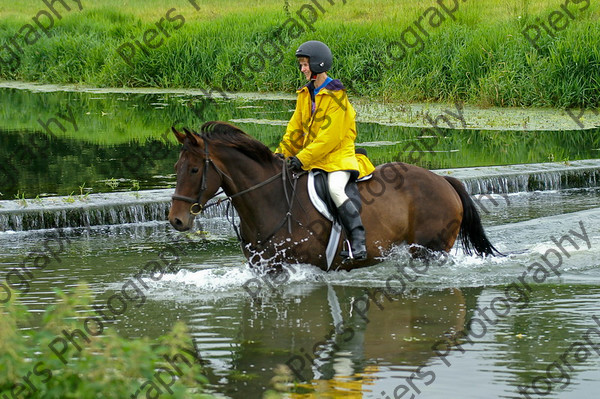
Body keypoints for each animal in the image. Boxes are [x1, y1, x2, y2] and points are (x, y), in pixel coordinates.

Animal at [168, 122, 496, 272]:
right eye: (176, 167)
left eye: (195, 169)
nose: (176, 220)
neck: (271, 200)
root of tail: (443, 180)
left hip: (430, 250)